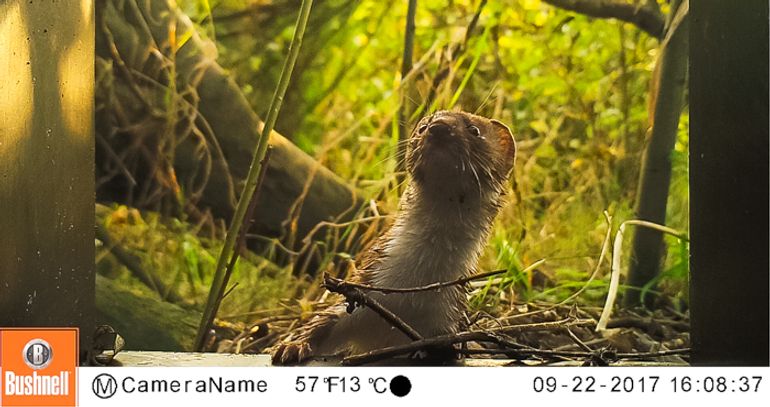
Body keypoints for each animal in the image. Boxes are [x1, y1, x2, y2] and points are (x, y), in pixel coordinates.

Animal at [270, 110, 516, 364]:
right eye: (422, 126)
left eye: (474, 130)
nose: (439, 126)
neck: (412, 291)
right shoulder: (361, 292)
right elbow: (321, 322)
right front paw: (291, 346)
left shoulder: (447, 321)